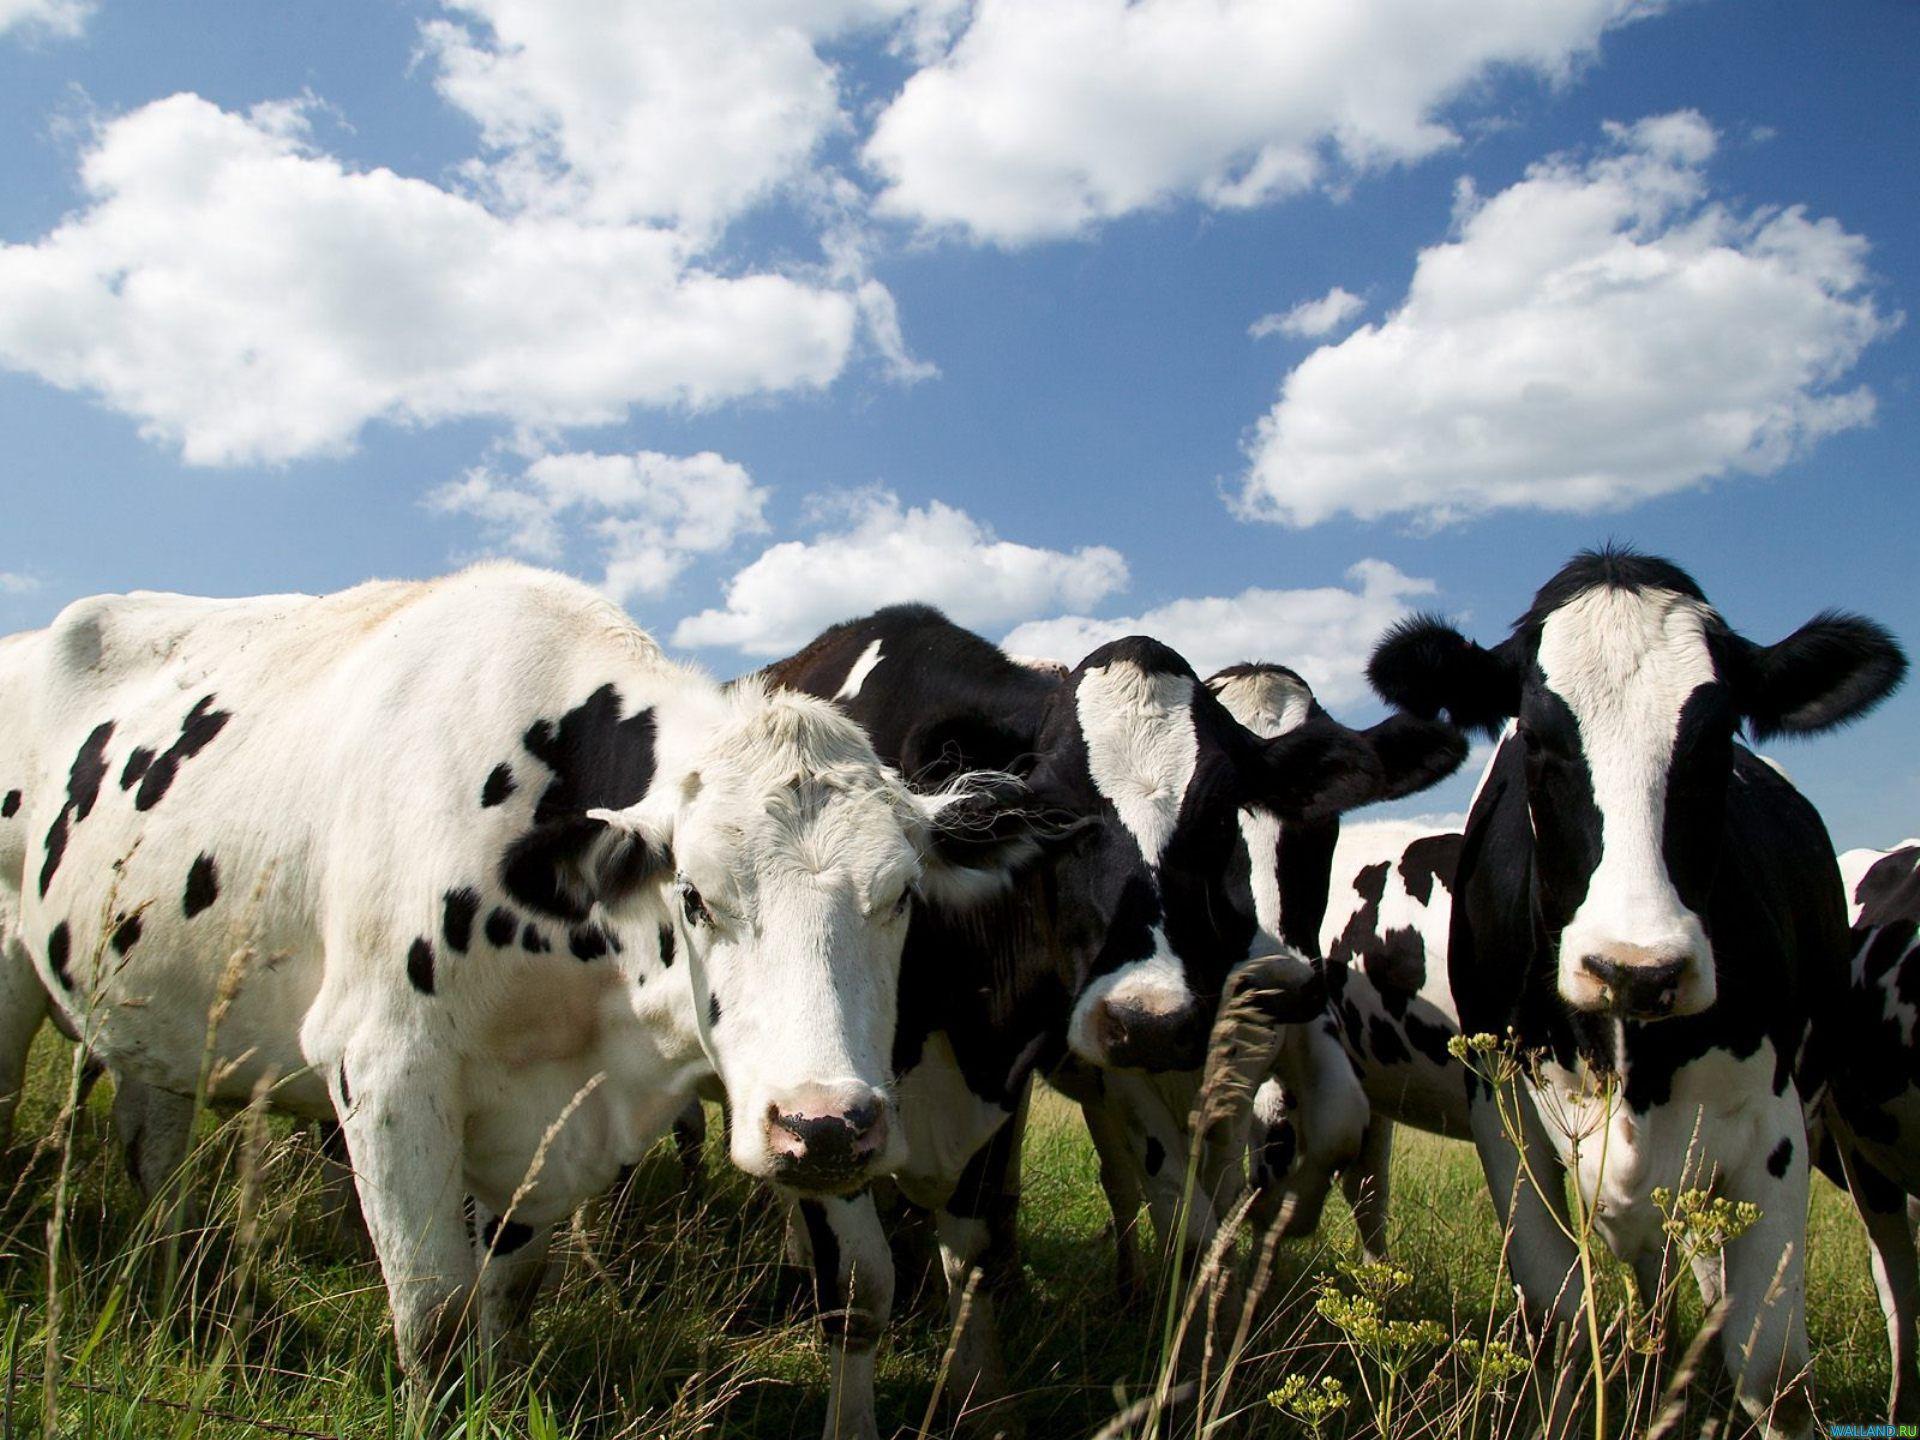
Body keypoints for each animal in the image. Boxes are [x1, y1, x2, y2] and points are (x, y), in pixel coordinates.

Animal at [0, 568, 1052, 1390]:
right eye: (695, 896)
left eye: (903, 895)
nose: (826, 1127)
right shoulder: (384, 1071)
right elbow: (434, 1321)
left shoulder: (550, 1121)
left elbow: (506, 1296)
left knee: (153, 1147)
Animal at [1367, 545, 1904, 1436]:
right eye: (1536, 740)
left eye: (1719, 738)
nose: (1635, 970)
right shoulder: (1505, 1116)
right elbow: (1557, 1317)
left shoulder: (1775, 1128)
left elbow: (1772, 1365)